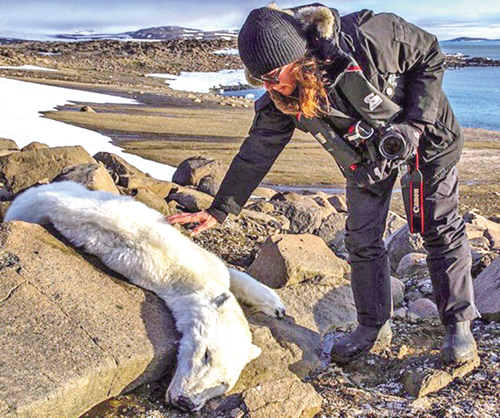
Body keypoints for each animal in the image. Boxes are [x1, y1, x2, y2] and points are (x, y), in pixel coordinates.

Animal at [5, 182, 286, 412]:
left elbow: (233, 275)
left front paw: (277, 307)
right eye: (207, 354)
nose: (186, 403)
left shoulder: (203, 264)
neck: (191, 274)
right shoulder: (157, 258)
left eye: (223, 383)